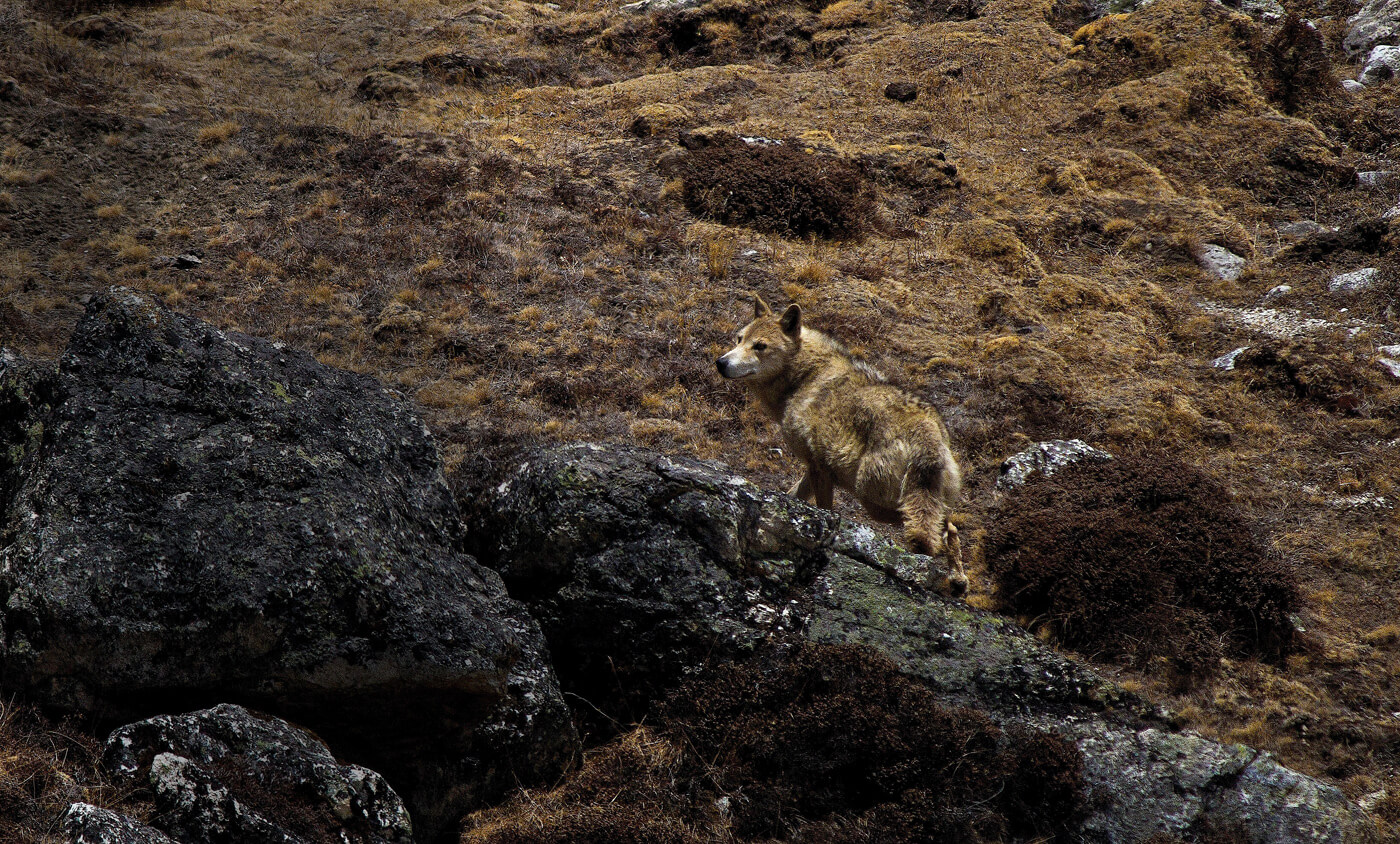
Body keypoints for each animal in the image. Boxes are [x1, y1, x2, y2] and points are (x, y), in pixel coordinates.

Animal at [716, 296, 966, 594]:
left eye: (760, 346)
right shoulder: (813, 467)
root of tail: (926, 434)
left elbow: (825, 511)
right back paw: (958, 581)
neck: (805, 376)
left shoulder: (820, 470)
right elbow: (793, 496)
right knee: (950, 527)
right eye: (739, 339)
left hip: (873, 501)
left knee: (931, 535)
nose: (720, 362)